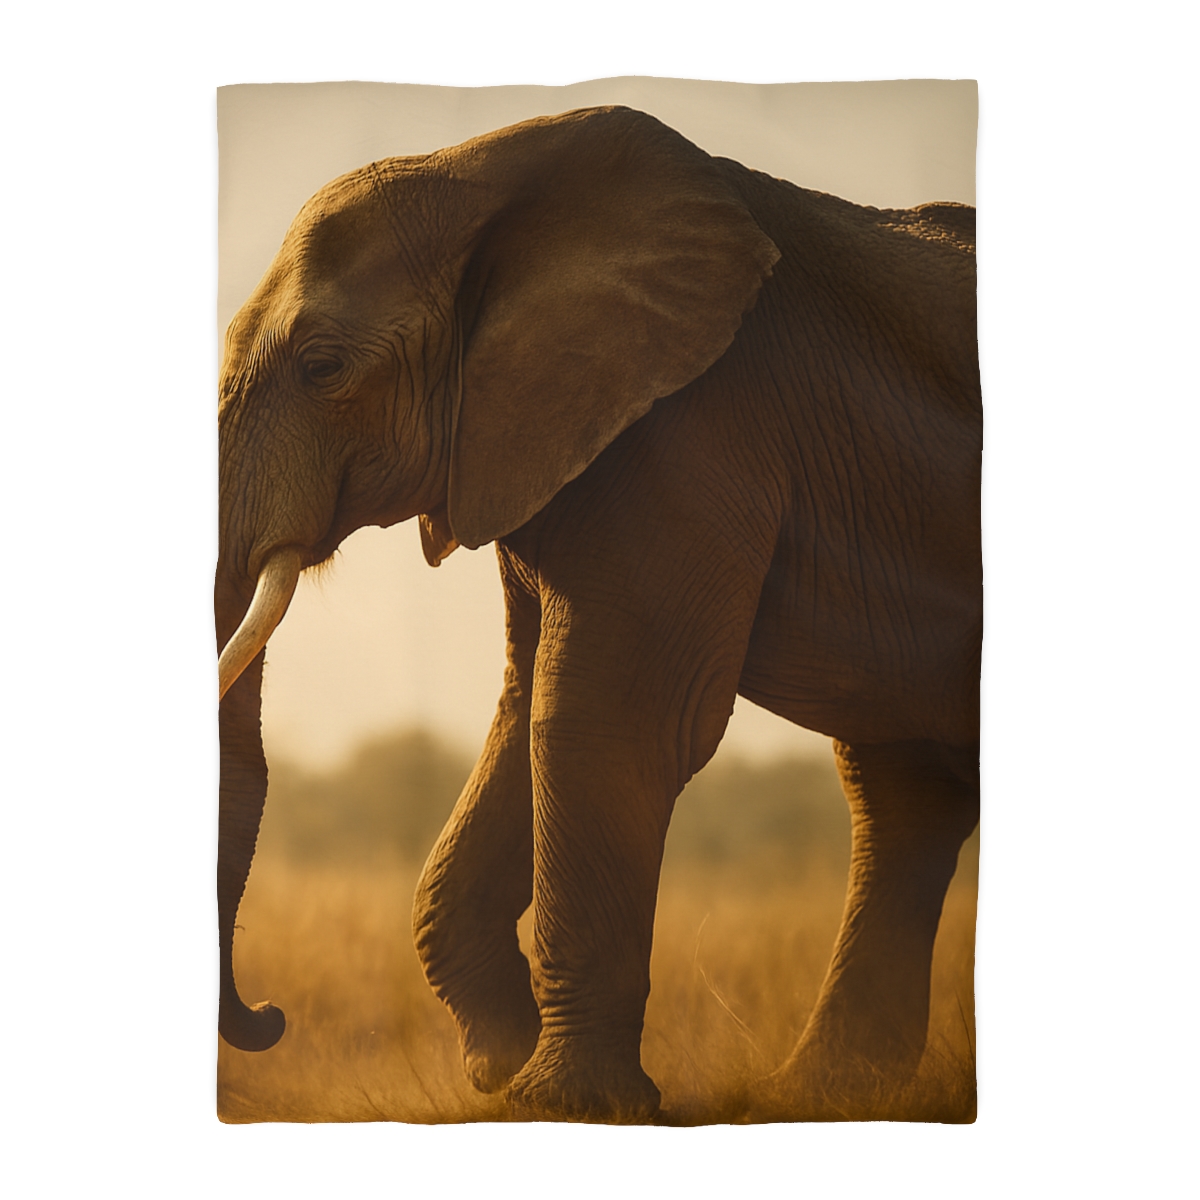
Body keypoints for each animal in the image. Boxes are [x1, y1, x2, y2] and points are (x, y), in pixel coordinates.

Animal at [216, 105, 981, 1122]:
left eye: (322, 366)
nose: (270, 1017)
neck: (480, 173)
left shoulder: (690, 425)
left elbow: (605, 719)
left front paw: (560, 1105)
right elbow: (525, 712)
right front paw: (501, 1071)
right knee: (900, 789)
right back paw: (825, 1095)